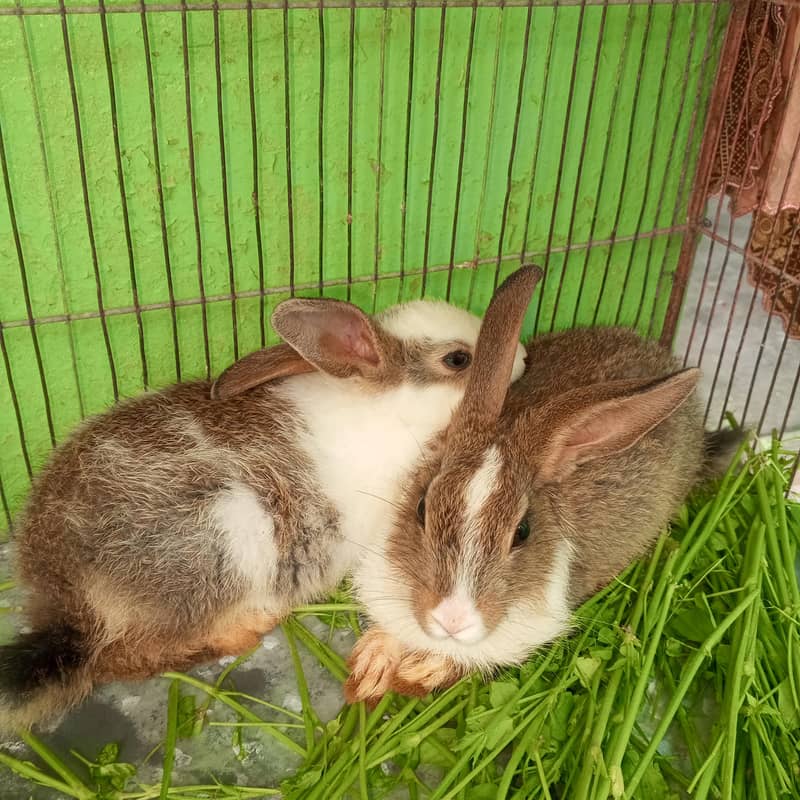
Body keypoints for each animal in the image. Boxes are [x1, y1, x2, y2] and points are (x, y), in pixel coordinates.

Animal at [0, 292, 529, 732]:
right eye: (458, 358)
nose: (523, 355)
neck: (392, 409)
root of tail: (68, 603)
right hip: (230, 534)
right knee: (125, 659)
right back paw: (248, 627)